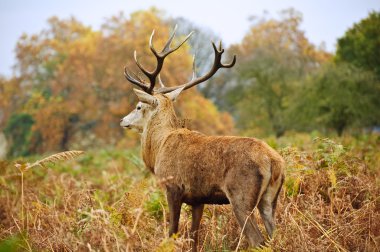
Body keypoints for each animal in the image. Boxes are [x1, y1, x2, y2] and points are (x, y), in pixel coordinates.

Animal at [120, 26, 284, 251]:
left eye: (138, 106)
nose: (123, 120)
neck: (160, 147)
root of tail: (273, 161)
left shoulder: (173, 187)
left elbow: (172, 232)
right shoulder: (198, 198)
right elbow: (194, 237)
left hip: (241, 196)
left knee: (257, 240)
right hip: (270, 199)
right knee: (275, 235)